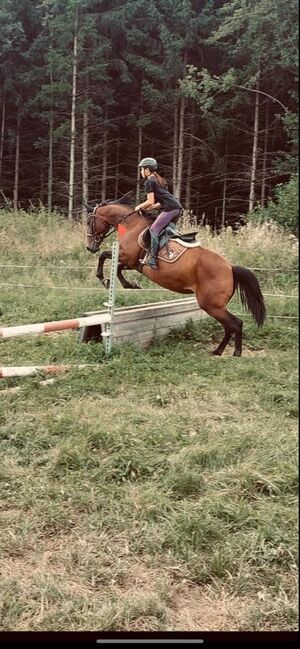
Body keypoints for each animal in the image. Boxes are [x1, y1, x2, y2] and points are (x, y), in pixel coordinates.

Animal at [85, 195, 266, 356]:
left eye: (89, 222)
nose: (90, 247)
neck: (131, 225)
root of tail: (230, 268)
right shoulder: (133, 263)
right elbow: (117, 268)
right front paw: (130, 284)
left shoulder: (127, 257)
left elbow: (105, 257)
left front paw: (104, 279)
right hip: (216, 306)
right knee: (229, 326)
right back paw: (219, 351)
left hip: (211, 305)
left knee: (235, 323)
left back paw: (236, 352)